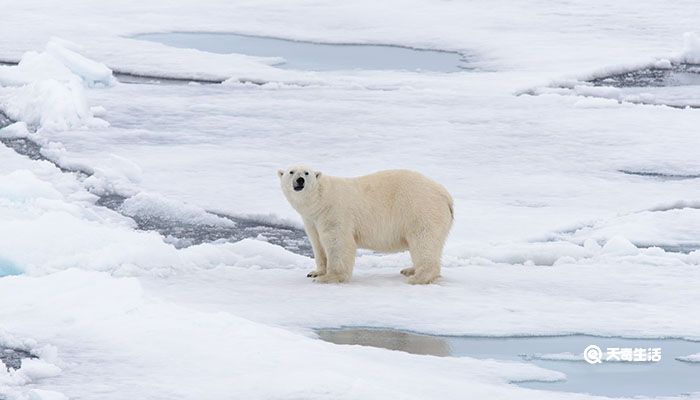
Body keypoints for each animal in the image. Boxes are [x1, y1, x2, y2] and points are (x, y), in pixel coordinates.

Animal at [278, 166, 454, 284]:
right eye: (291, 172)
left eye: (306, 173)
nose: (300, 180)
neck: (321, 200)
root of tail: (445, 195)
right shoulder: (311, 220)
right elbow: (317, 243)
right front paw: (315, 273)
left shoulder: (335, 212)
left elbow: (338, 242)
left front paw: (330, 277)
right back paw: (410, 270)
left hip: (420, 209)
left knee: (423, 241)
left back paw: (417, 277)